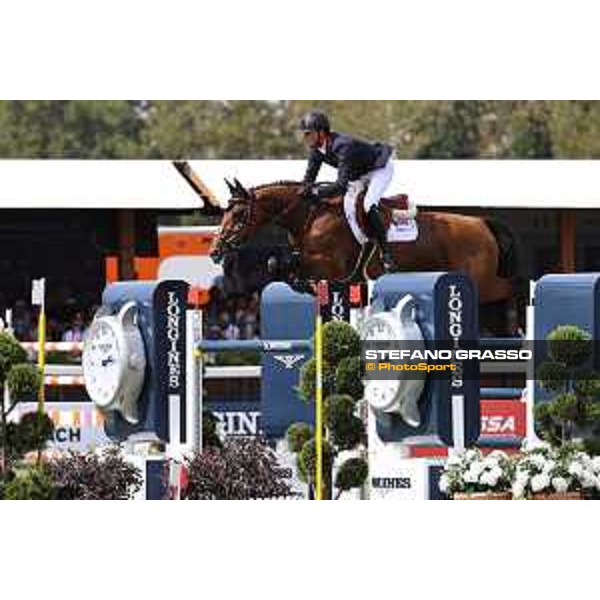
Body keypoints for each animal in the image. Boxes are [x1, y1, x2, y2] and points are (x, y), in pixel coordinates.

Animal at [211, 179, 520, 310]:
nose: (215, 251)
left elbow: (285, 263)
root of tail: (481, 223)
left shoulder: (332, 267)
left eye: (238, 214)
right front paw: (300, 285)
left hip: (484, 287)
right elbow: (278, 262)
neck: (311, 214)